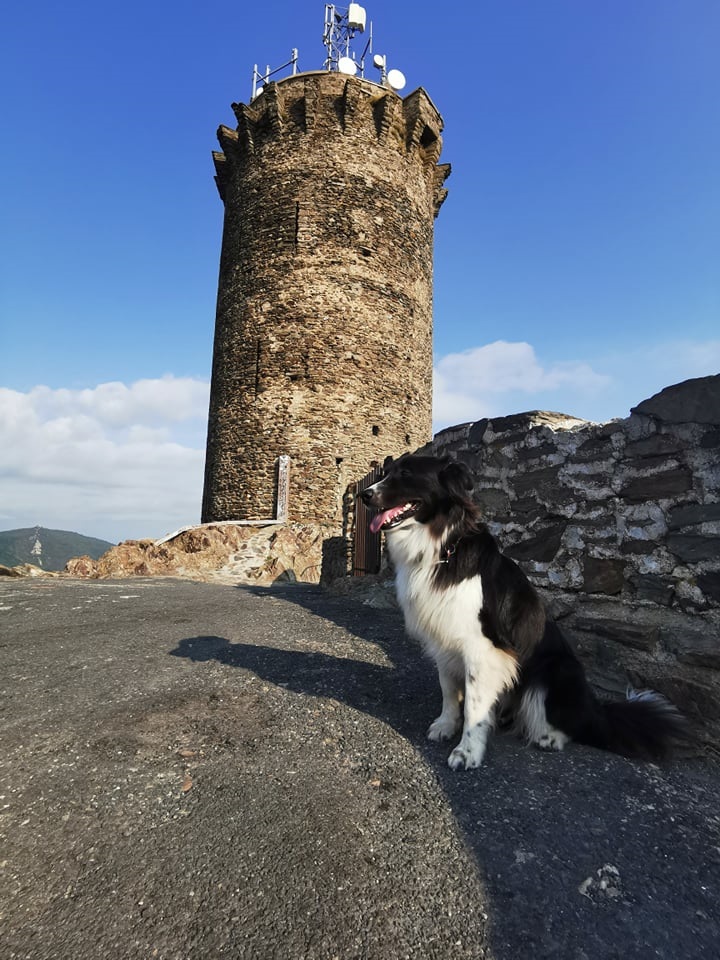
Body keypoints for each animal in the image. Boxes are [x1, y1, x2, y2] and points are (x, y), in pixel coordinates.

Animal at [360, 452, 688, 772]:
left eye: (406, 473)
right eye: (387, 472)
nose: (364, 495)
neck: (444, 547)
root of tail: (597, 711)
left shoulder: (483, 648)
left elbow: (474, 707)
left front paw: (467, 752)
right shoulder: (443, 639)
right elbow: (449, 690)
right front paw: (445, 725)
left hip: (556, 670)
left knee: (570, 724)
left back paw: (549, 737)